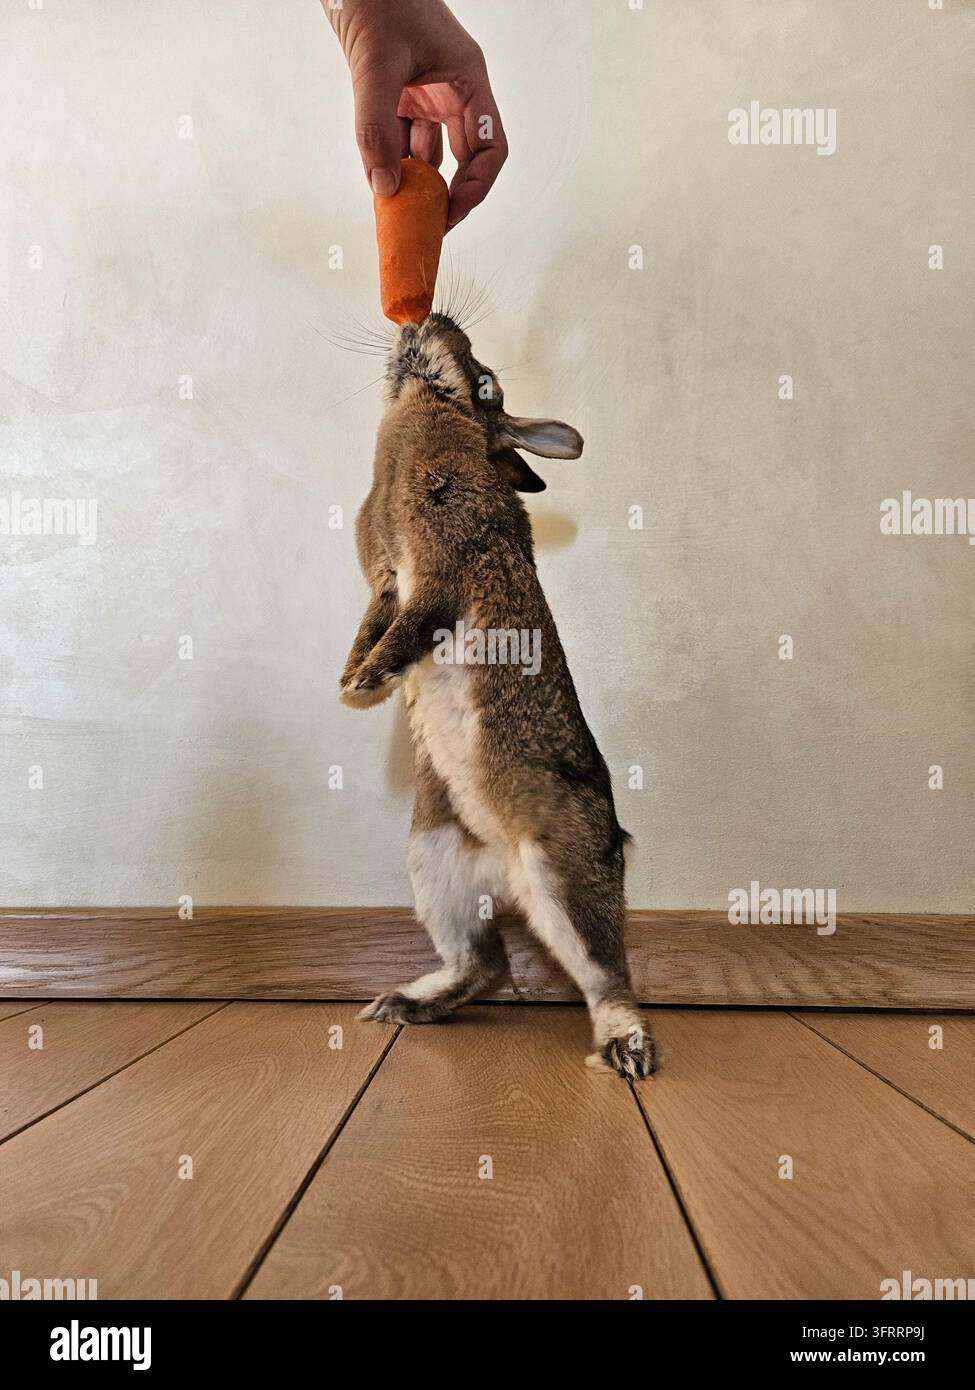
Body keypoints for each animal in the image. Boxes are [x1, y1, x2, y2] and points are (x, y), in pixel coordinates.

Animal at [340, 312, 655, 1079]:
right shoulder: (385, 585)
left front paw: (365, 685)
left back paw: (626, 1050)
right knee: (483, 964)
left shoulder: (443, 570)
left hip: (562, 874)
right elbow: (374, 625)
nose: (427, 319)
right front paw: (352, 678)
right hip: (434, 859)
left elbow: (413, 626)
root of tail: (504, 865)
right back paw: (401, 1005)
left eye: (484, 384)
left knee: (606, 974)